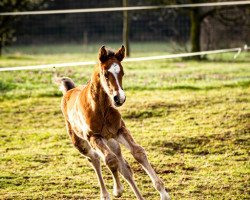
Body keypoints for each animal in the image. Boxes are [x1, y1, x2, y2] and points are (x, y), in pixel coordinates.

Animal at [56, 45, 170, 200]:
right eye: (105, 74)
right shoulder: (94, 136)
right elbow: (110, 160)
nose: (119, 98)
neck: (101, 108)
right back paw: (105, 194)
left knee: (124, 167)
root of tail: (69, 91)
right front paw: (118, 190)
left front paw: (163, 193)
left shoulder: (120, 130)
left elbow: (138, 152)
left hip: (112, 141)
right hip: (81, 143)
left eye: (122, 72)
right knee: (95, 159)